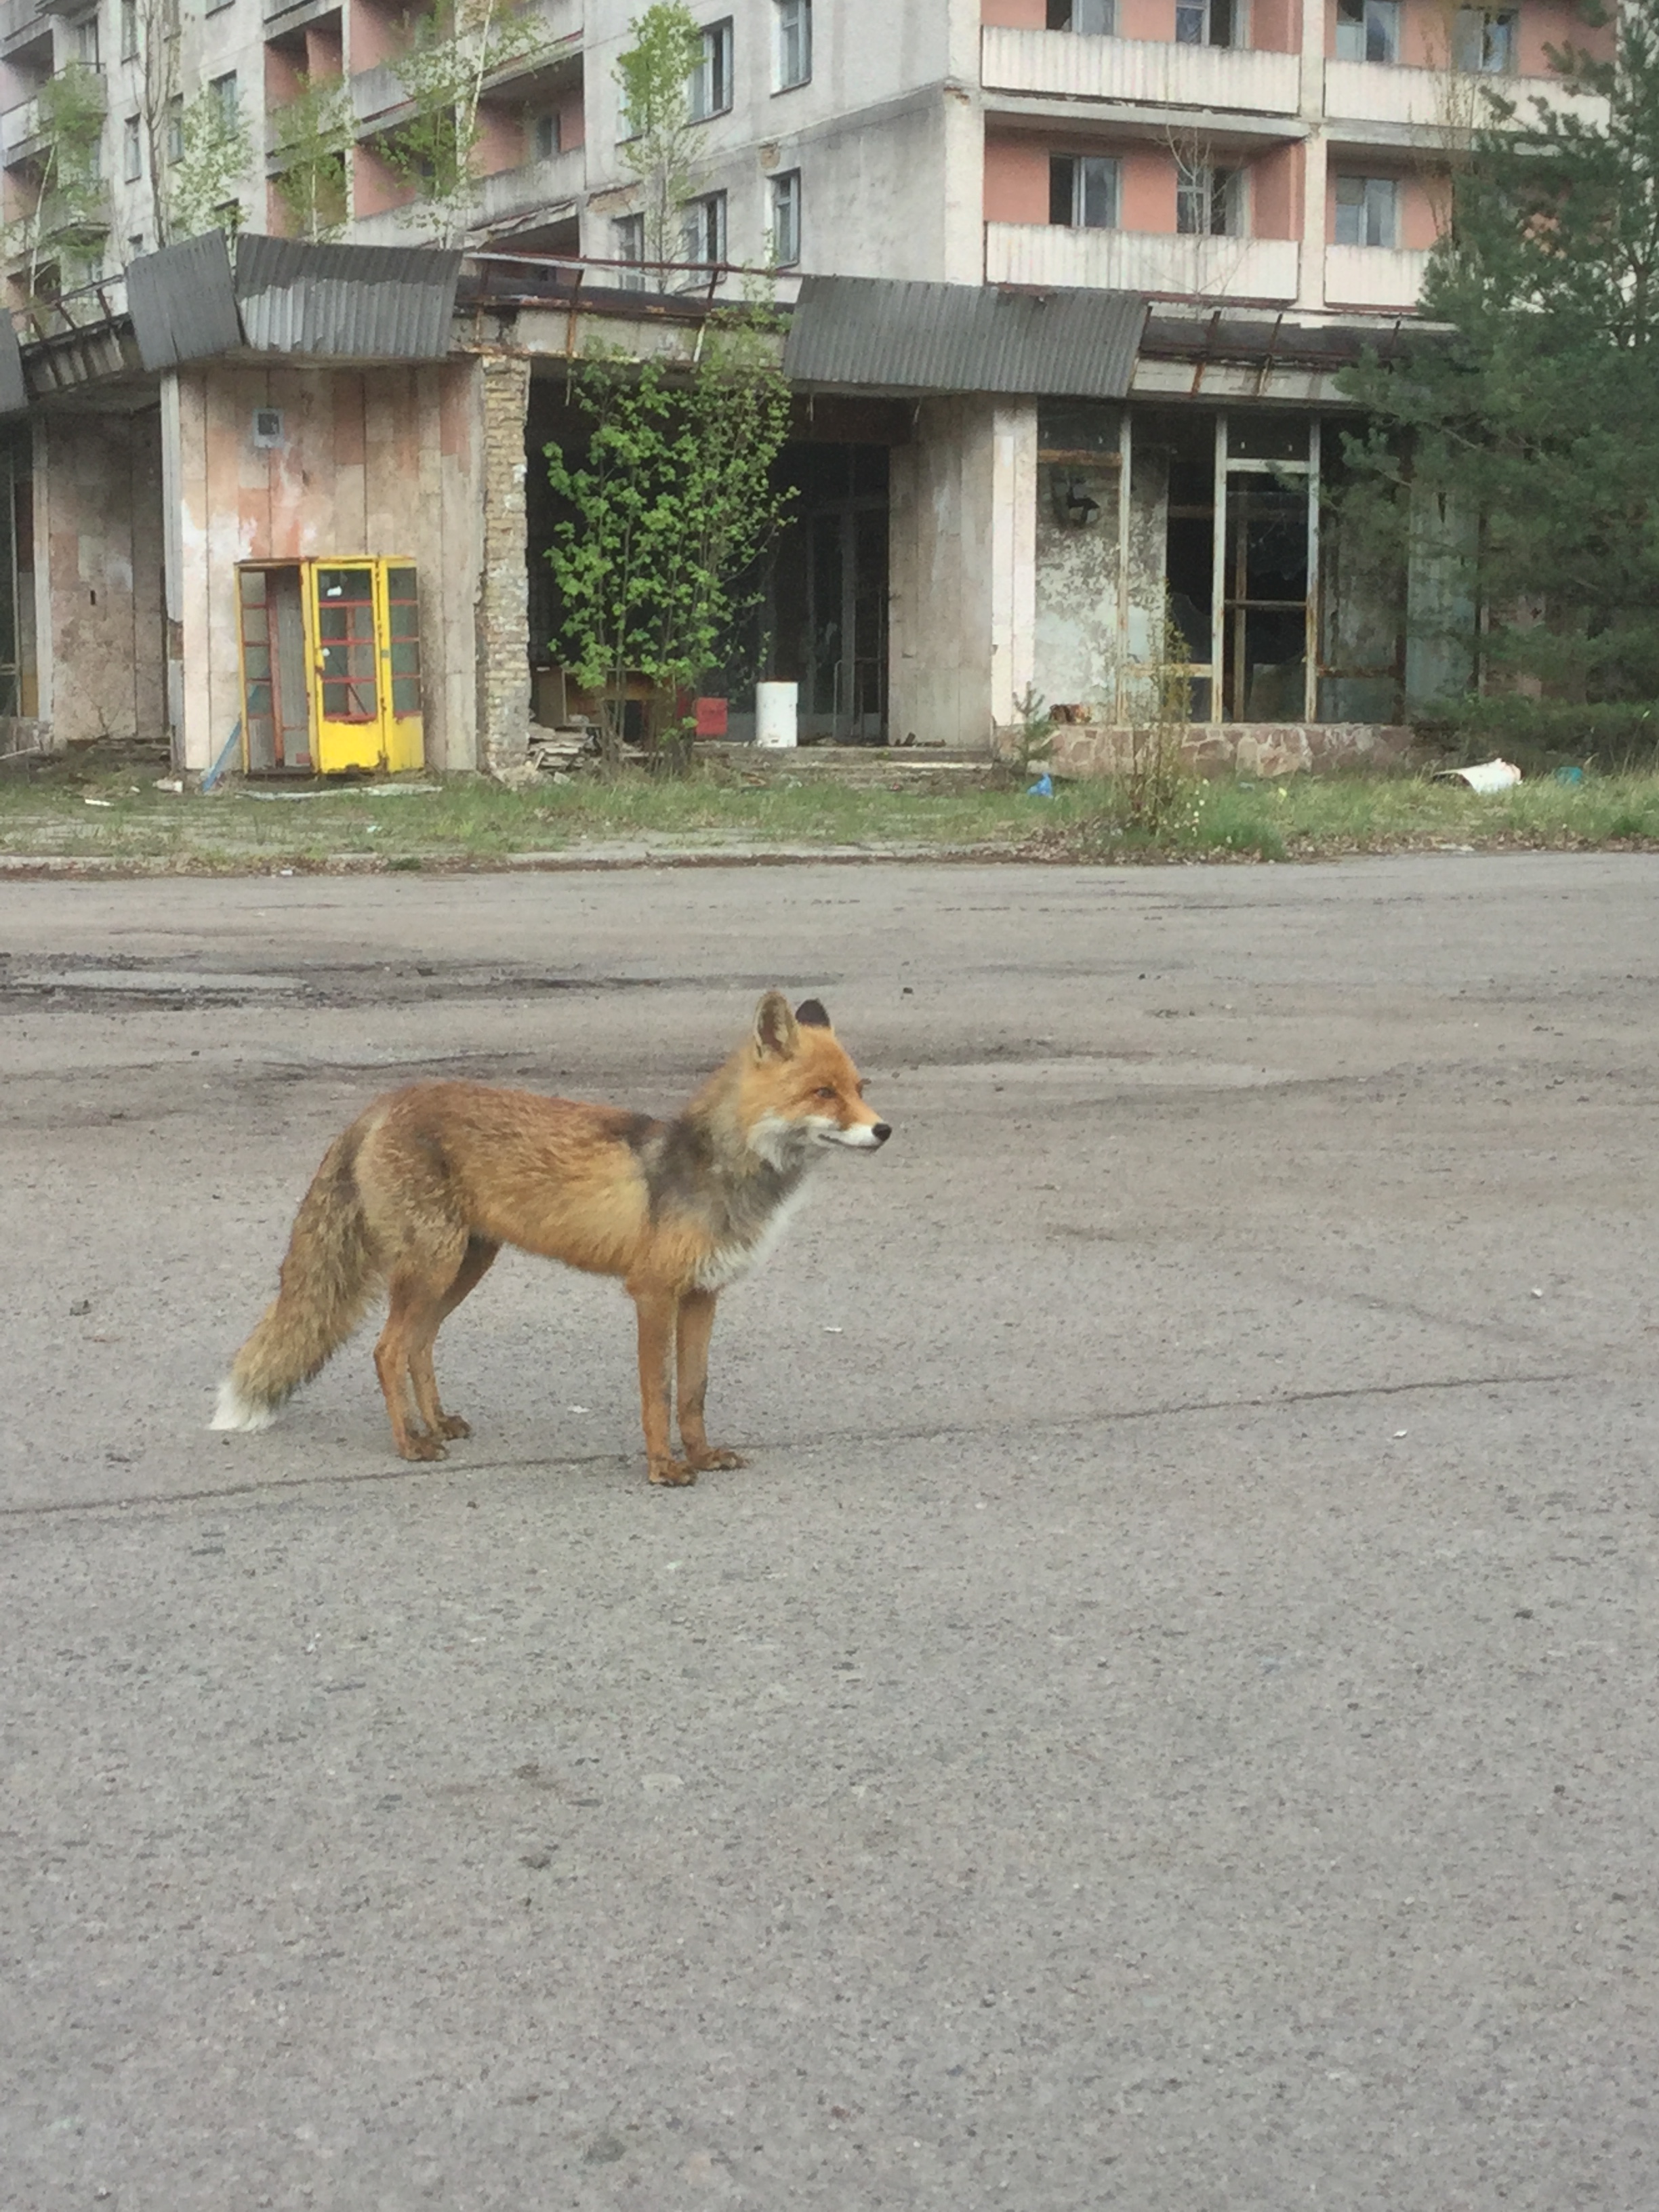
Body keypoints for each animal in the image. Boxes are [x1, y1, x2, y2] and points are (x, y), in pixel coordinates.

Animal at [211, 991, 890, 1484]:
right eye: (823, 1093)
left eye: (860, 1089)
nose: (884, 1131)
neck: (721, 1173)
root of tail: (384, 1101)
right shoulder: (652, 1292)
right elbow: (659, 1391)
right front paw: (662, 1468)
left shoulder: (703, 1294)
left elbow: (694, 1393)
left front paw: (699, 1456)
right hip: (432, 1265)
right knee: (385, 1350)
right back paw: (410, 1443)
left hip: (465, 1265)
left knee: (418, 1346)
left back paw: (437, 1424)